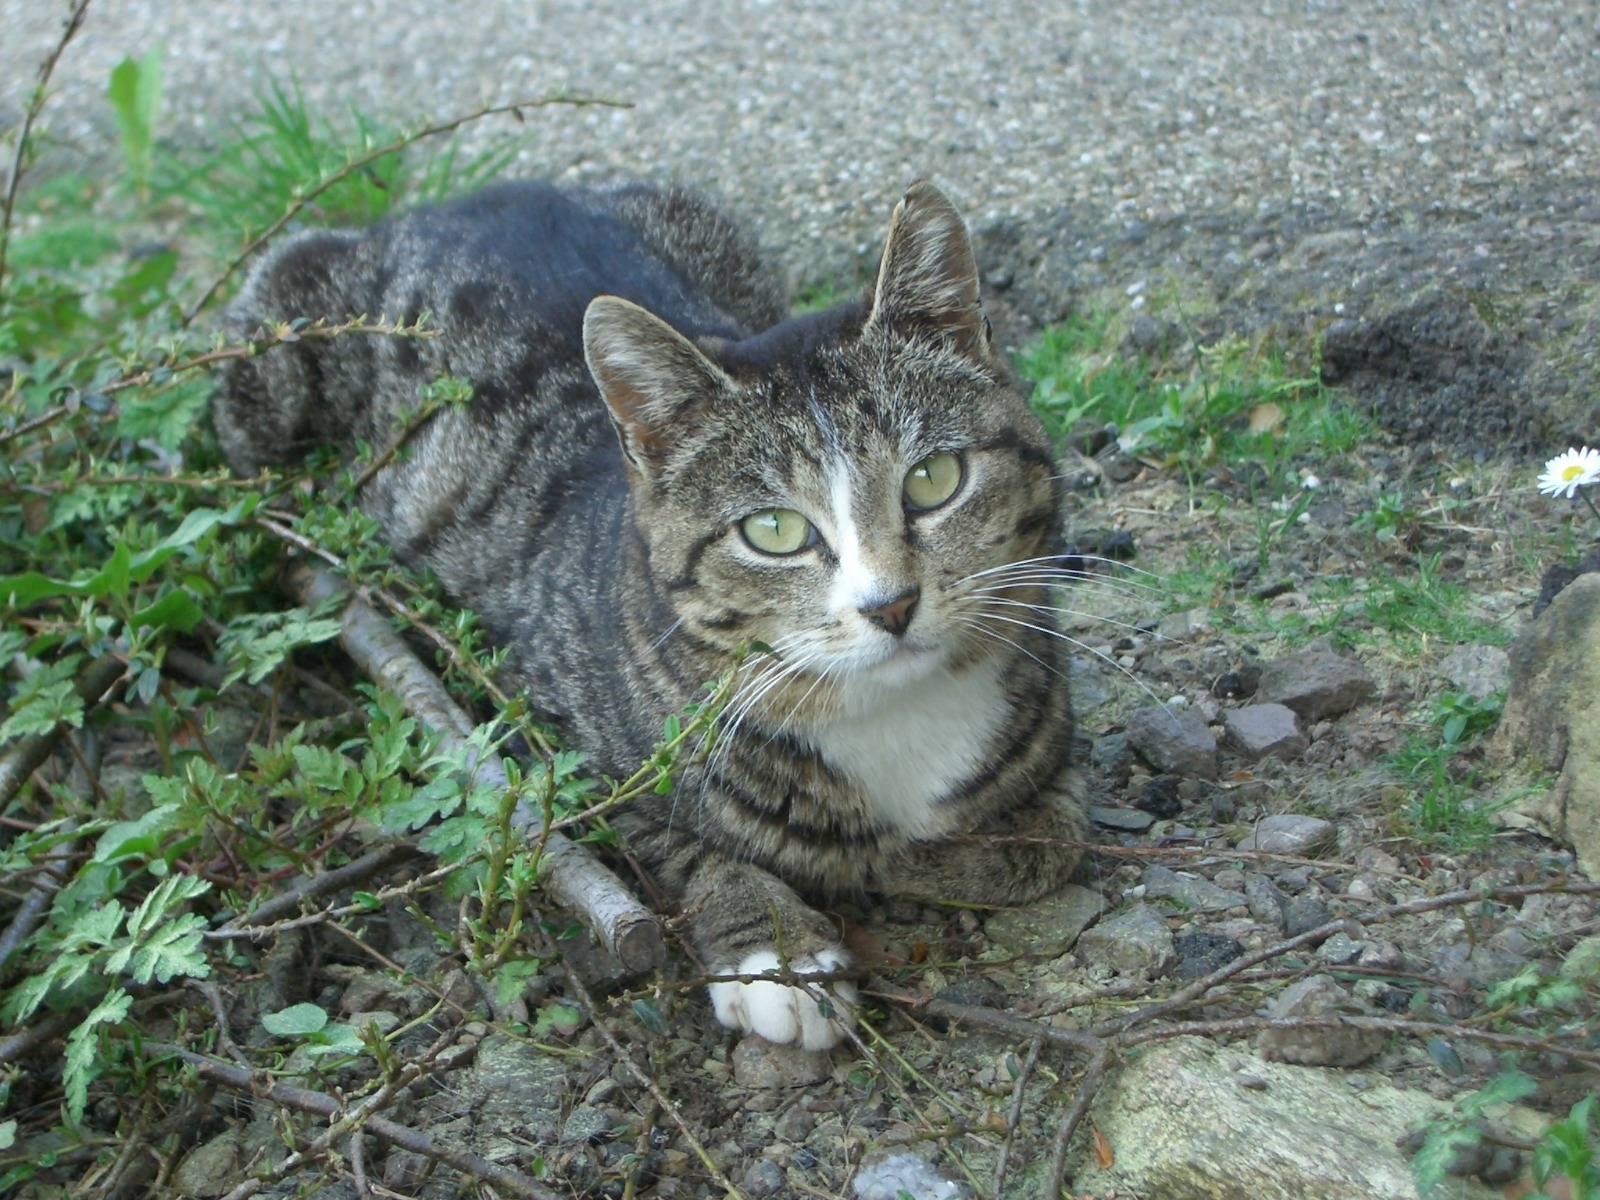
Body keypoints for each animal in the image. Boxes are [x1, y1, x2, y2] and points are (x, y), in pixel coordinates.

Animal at [212, 180, 1088, 1049]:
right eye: (774, 531)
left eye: (934, 479)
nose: (892, 604)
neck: (890, 710)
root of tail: (436, 206)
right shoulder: (549, 748)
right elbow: (689, 845)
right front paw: (778, 952)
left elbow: (1048, 836)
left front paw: (919, 858)